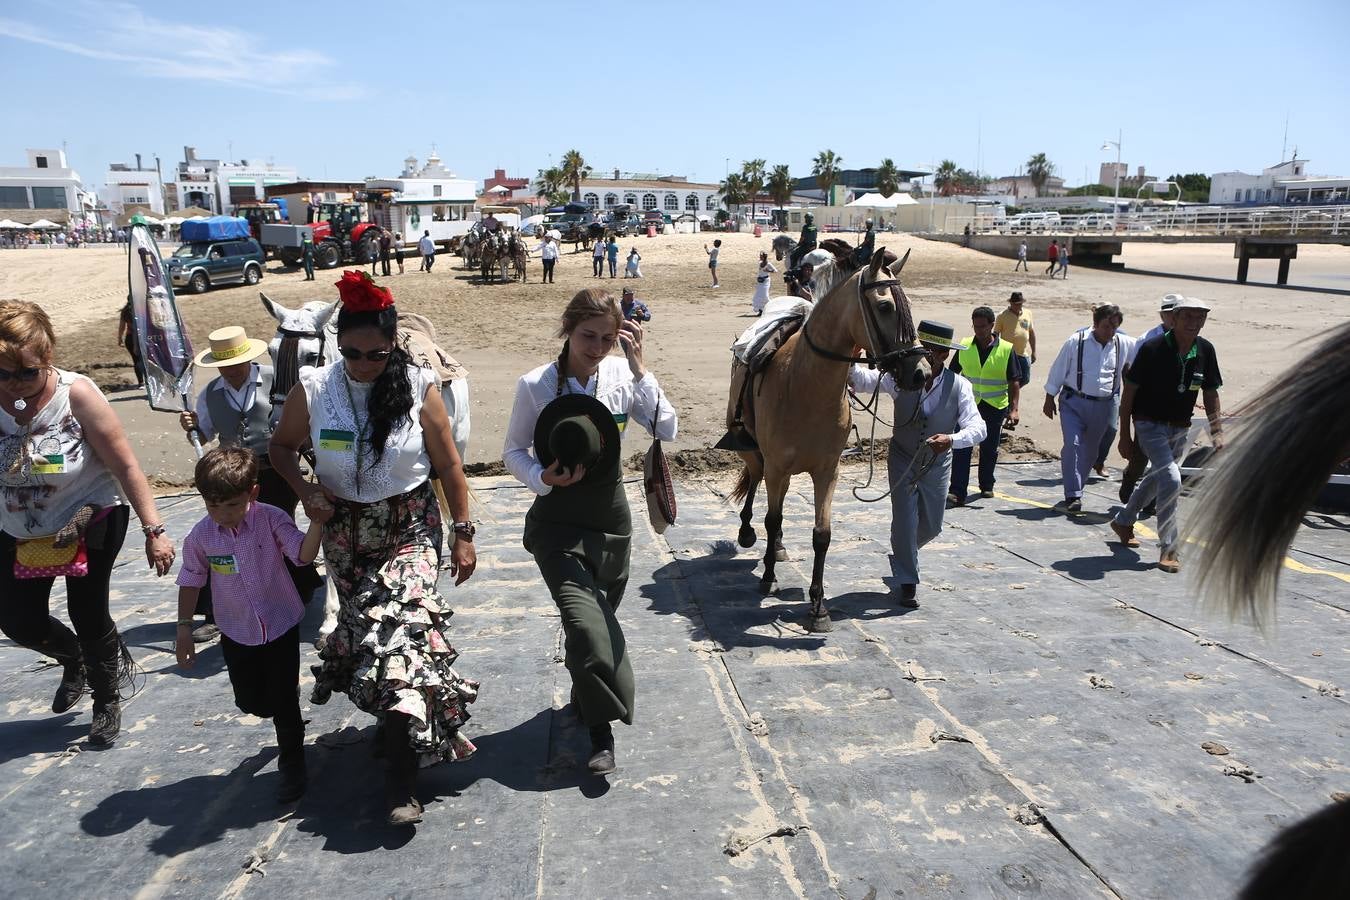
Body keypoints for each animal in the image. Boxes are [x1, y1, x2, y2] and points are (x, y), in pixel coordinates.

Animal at [729, 242, 928, 631]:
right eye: (885, 306)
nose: (920, 373)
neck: (805, 383)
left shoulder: (827, 471)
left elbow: (822, 535)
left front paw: (818, 607)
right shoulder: (776, 465)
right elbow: (772, 518)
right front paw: (768, 578)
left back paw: (777, 547)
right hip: (755, 453)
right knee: (756, 479)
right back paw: (749, 534)